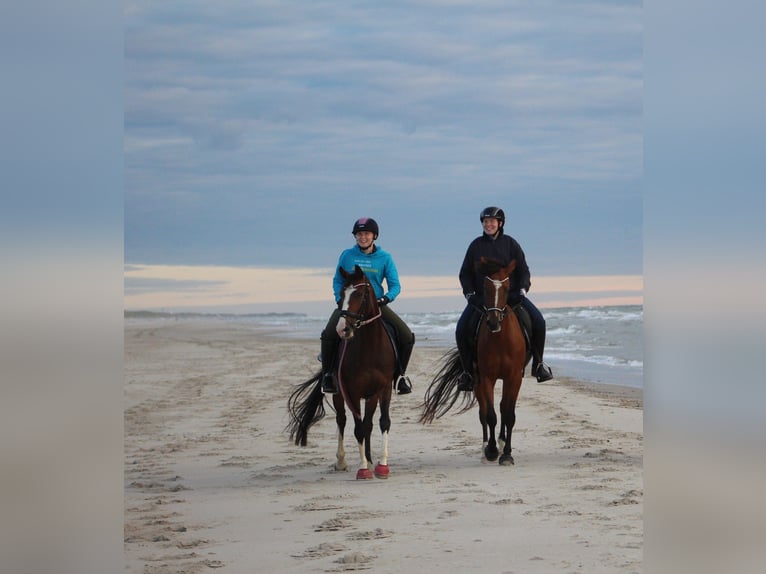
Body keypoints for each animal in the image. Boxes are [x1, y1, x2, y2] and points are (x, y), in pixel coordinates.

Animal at [286, 266, 400, 482]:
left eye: (360, 294)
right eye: (341, 295)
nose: (342, 328)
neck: (370, 348)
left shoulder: (382, 389)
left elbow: (381, 423)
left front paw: (381, 465)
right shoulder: (352, 391)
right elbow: (357, 429)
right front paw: (363, 469)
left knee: (367, 424)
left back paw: (369, 460)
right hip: (338, 394)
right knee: (342, 420)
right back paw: (341, 461)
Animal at [420, 258, 536, 466]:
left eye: (507, 288)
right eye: (485, 287)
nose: (493, 322)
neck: (500, 339)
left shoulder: (514, 377)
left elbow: (508, 414)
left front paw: (506, 454)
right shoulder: (486, 378)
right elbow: (490, 415)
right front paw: (491, 451)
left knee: (502, 408)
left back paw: (501, 442)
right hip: (475, 380)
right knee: (483, 412)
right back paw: (485, 450)